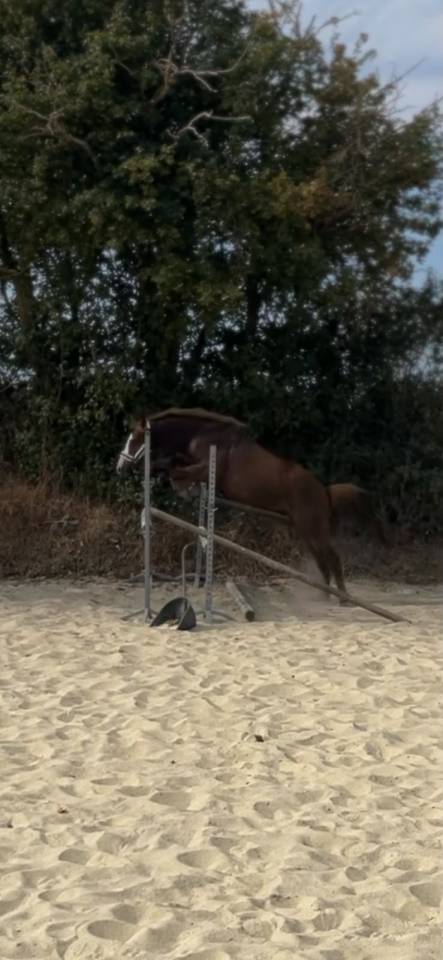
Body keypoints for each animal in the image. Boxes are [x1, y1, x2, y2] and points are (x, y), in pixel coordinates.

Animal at [117, 407, 348, 598]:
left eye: (135, 437)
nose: (120, 466)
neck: (203, 434)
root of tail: (323, 490)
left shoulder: (206, 468)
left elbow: (172, 468)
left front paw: (180, 486)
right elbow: (174, 463)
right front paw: (184, 488)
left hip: (313, 527)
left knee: (332, 557)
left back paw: (342, 598)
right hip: (303, 529)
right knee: (322, 560)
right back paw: (324, 596)